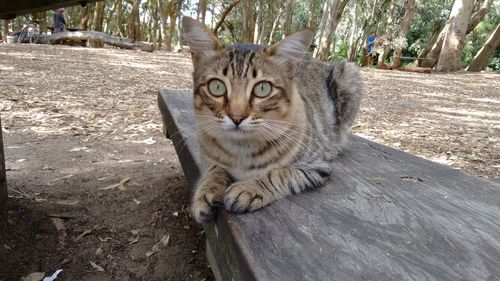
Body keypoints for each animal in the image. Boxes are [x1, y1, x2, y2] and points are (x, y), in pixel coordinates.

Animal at [182, 17, 362, 223]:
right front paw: (207, 190)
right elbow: (214, 171)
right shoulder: (208, 157)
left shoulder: (316, 166)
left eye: (262, 89)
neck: (241, 150)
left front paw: (248, 188)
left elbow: (280, 174)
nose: (237, 117)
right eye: (217, 87)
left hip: (348, 75)